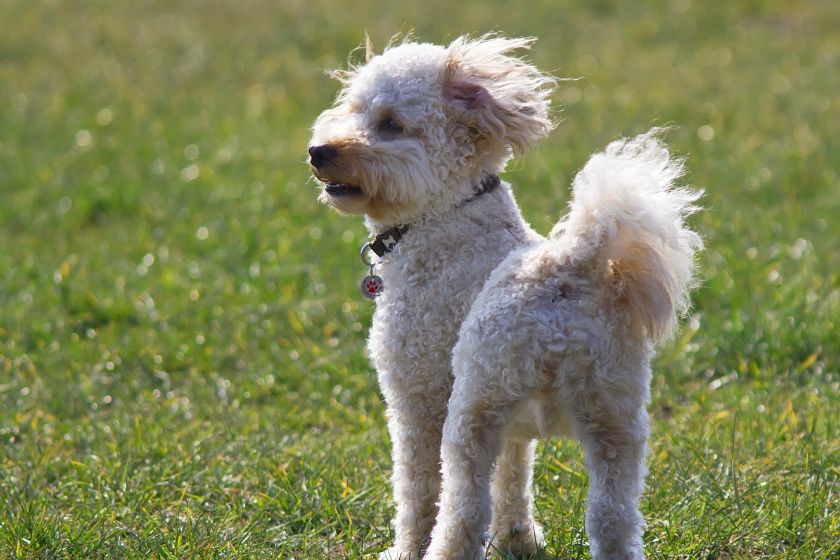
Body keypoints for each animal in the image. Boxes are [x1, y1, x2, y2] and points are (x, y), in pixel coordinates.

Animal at [308, 35, 704, 560]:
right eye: (353, 109)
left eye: (390, 124)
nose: (318, 151)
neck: (445, 216)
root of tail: (567, 268)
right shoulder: (514, 426)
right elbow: (514, 474)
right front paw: (518, 538)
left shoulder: (417, 397)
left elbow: (418, 489)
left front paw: (407, 548)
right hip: (615, 417)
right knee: (613, 516)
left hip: (472, 409)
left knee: (463, 509)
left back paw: (443, 551)